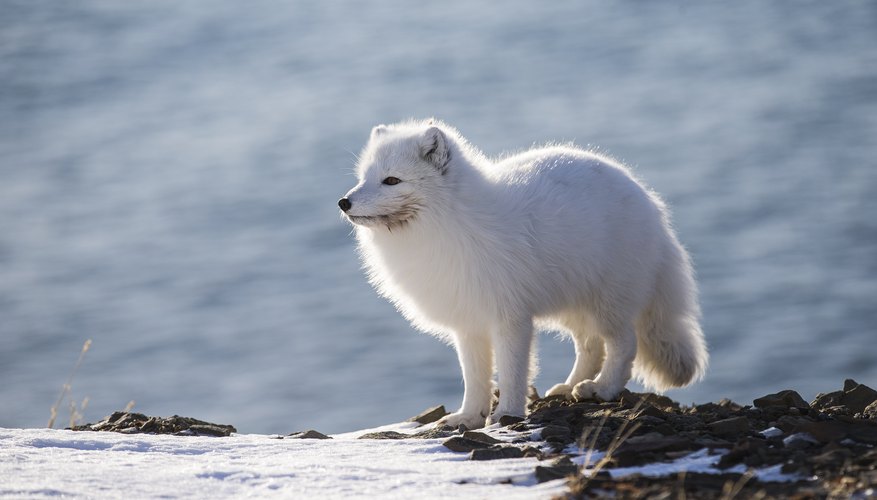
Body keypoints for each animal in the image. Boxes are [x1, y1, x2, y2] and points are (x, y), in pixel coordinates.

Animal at [338, 119, 708, 428]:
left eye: (391, 180)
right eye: (363, 177)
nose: (344, 202)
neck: (450, 225)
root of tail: (651, 203)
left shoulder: (510, 317)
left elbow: (512, 372)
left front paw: (507, 414)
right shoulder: (468, 322)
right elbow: (475, 377)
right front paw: (468, 417)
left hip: (609, 300)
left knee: (623, 344)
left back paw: (600, 389)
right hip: (575, 305)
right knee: (590, 346)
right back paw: (569, 386)